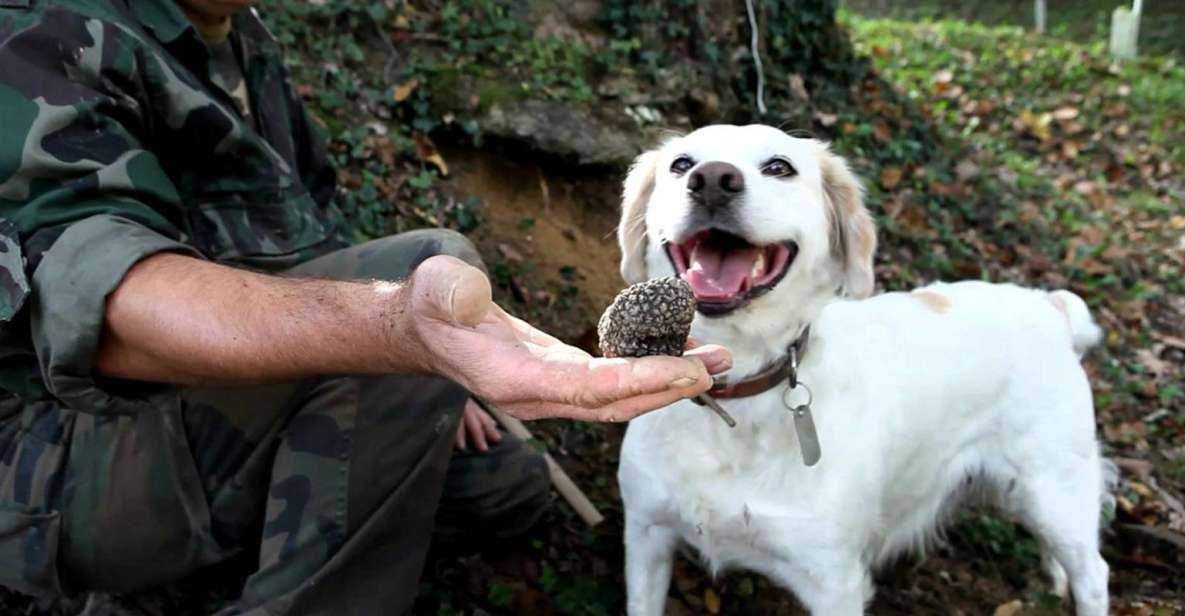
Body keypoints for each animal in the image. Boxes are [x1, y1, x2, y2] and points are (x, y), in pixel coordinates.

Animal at [616, 122, 1104, 611]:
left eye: (779, 167)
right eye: (682, 164)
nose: (713, 180)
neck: (739, 387)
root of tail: (1050, 306)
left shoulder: (834, 584)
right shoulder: (646, 535)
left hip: (1054, 491)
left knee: (1093, 573)